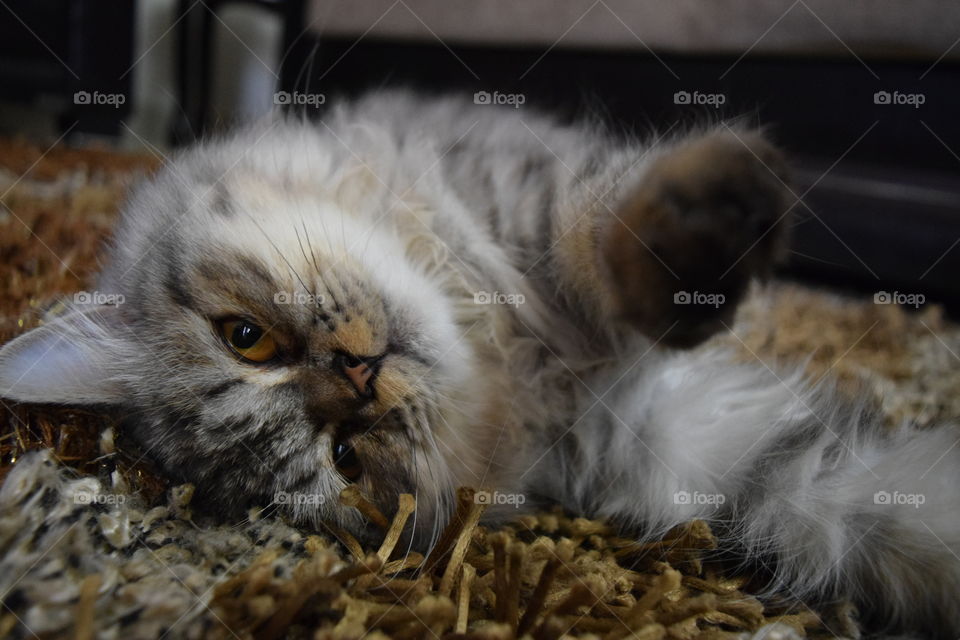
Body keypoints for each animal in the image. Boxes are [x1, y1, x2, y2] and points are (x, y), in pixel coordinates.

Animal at [0, 90, 956, 636]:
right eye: (346, 458)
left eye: (245, 338)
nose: (358, 376)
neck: (516, 353)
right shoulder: (687, 451)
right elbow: (885, 509)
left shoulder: (529, 190)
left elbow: (602, 223)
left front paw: (708, 227)